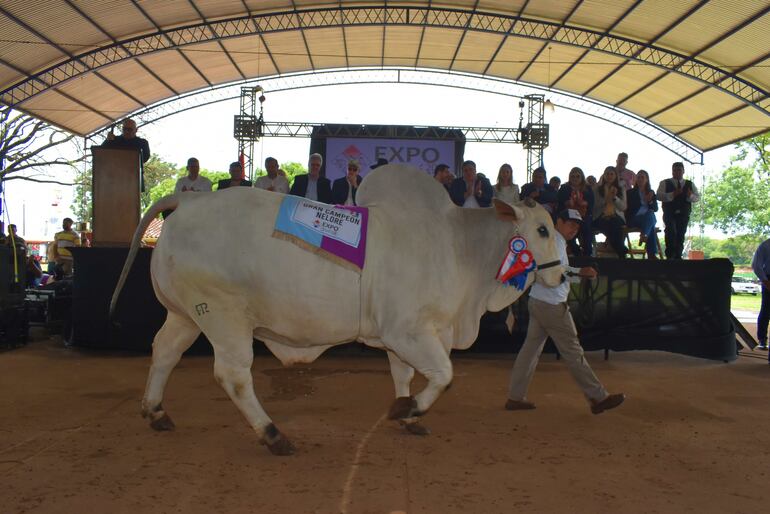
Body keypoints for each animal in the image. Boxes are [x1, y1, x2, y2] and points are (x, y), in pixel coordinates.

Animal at [109, 163, 560, 452]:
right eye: (541, 230)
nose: (560, 276)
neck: (458, 246)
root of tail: (187, 203)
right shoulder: (409, 331)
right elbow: (443, 375)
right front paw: (411, 409)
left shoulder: (402, 337)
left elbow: (405, 375)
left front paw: (407, 415)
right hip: (224, 315)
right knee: (233, 375)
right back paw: (273, 435)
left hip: (186, 314)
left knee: (164, 352)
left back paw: (156, 412)